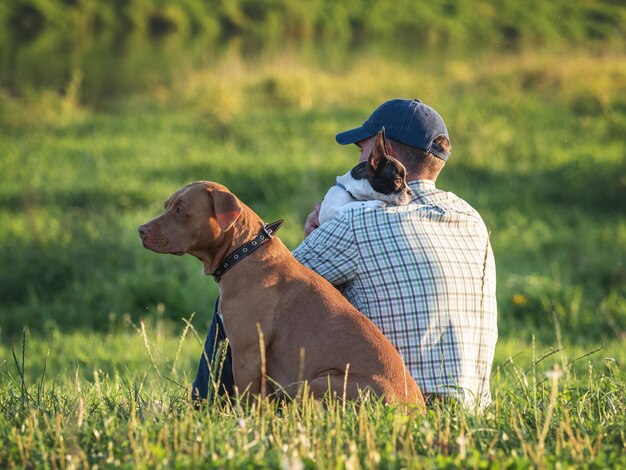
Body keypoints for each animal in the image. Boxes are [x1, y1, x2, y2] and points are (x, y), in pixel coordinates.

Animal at [140, 182, 424, 406]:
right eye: (167, 205)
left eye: (180, 210)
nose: (140, 230)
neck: (243, 251)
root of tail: (415, 409)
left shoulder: (246, 353)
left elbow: (246, 400)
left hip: (312, 384)